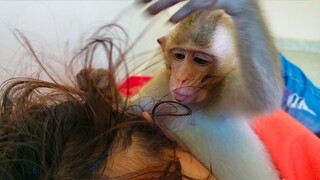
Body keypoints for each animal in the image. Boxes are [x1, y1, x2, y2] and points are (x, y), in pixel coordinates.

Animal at [131, 0, 284, 180]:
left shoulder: (227, 89)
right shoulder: (161, 85)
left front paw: (239, 7)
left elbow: (264, 98)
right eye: (179, 56)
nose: (182, 77)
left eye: (200, 60)